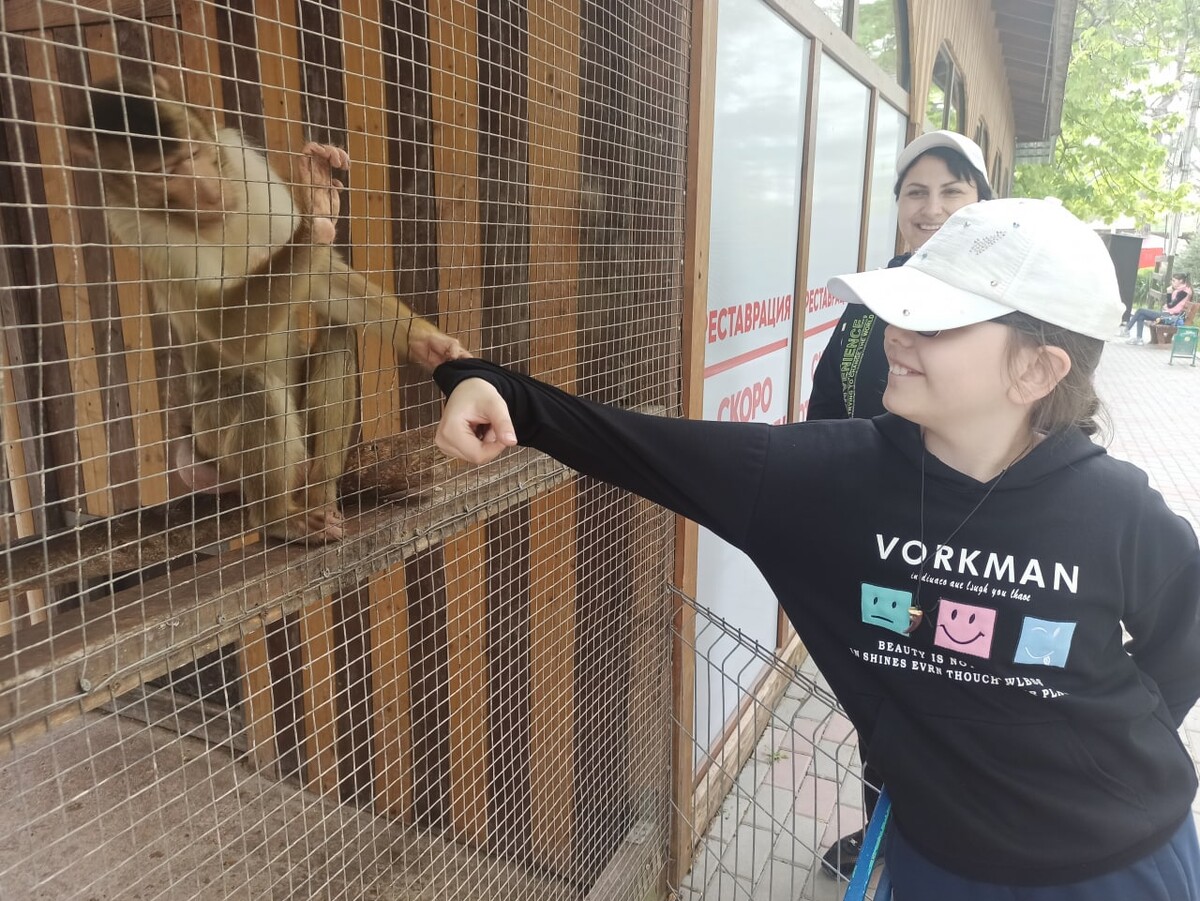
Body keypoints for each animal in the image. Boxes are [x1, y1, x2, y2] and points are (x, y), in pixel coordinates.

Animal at [68, 75, 465, 542]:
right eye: (164, 173)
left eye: (193, 155)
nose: (206, 188)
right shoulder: (134, 223)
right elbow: (222, 326)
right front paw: (313, 216)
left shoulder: (240, 160)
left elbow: (321, 280)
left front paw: (428, 344)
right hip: (212, 438)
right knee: (251, 389)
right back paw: (277, 517)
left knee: (336, 337)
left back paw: (319, 493)